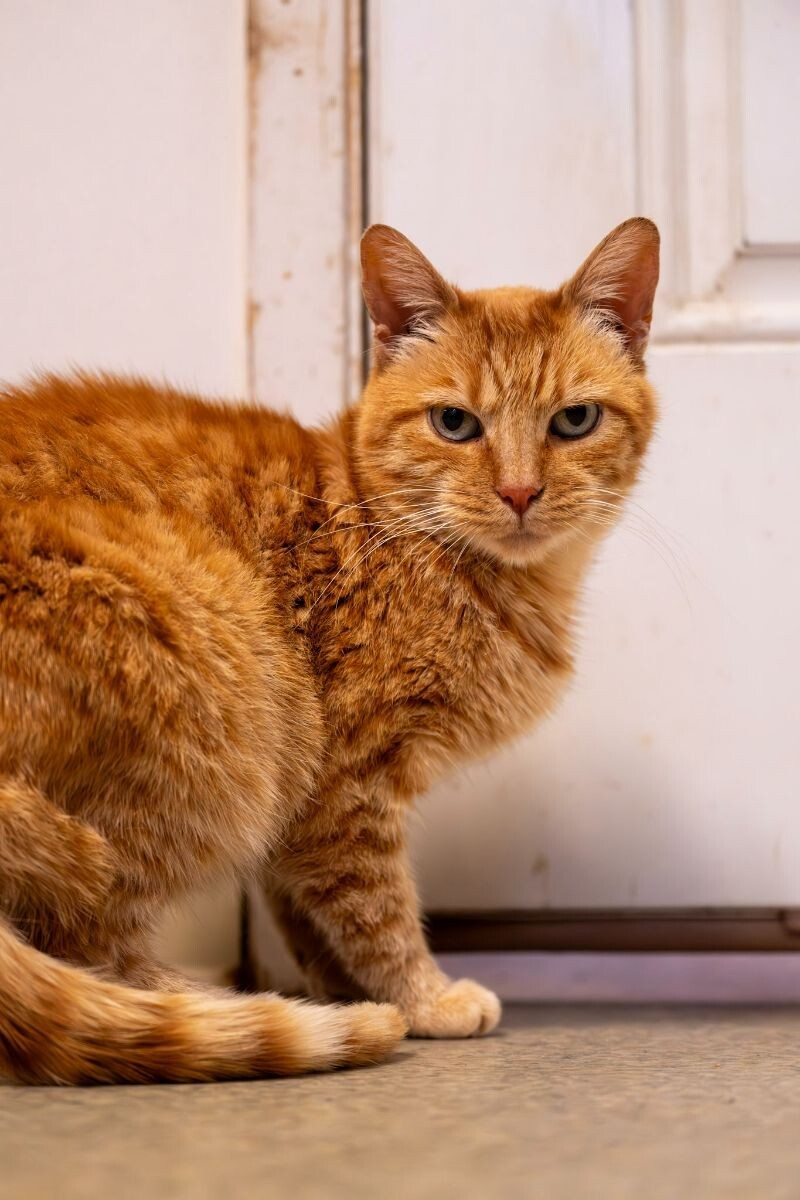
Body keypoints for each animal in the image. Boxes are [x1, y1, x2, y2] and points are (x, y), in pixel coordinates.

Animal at [0, 220, 662, 1084]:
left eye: (575, 420)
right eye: (455, 424)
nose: (520, 493)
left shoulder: (304, 800)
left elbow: (305, 910)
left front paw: (341, 988)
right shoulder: (347, 783)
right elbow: (376, 910)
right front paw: (422, 999)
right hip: (211, 707)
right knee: (89, 937)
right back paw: (214, 1006)